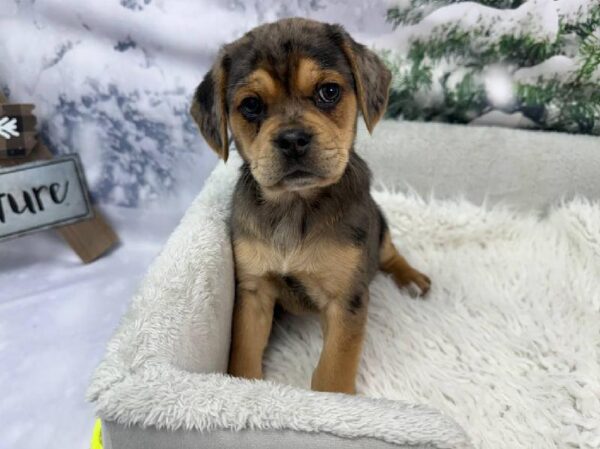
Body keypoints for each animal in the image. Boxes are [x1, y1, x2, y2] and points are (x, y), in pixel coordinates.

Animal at [192, 17, 432, 392]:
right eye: (251, 105)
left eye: (329, 92)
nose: (293, 140)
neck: (296, 206)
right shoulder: (254, 292)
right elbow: (244, 353)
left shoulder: (345, 299)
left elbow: (334, 369)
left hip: (380, 227)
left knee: (389, 253)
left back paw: (411, 278)